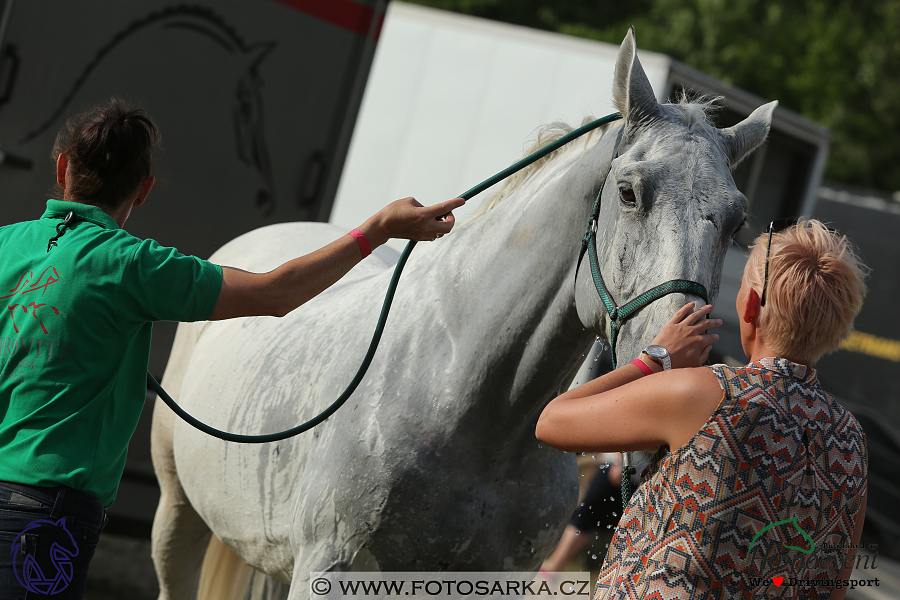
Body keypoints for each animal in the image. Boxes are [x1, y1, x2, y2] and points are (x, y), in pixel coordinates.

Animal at [148, 28, 772, 600]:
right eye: (628, 192)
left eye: (738, 221)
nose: (684, 378)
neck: (472, 402)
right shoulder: (329, 566)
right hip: (178, 513)